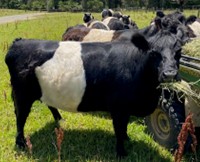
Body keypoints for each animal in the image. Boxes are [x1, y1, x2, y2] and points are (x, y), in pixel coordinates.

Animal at [5, 30, 181, 157]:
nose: (170, 74)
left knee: (49, 104)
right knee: (20, 117)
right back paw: (20, 143)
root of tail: (19, 41)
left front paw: (127, 139)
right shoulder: (118, 108)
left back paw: (60, 121)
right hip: (22, 95)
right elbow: (119, 129)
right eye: (154, 53)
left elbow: (123, 128)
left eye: (178, 53)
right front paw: (121, 152)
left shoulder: (125, 109)